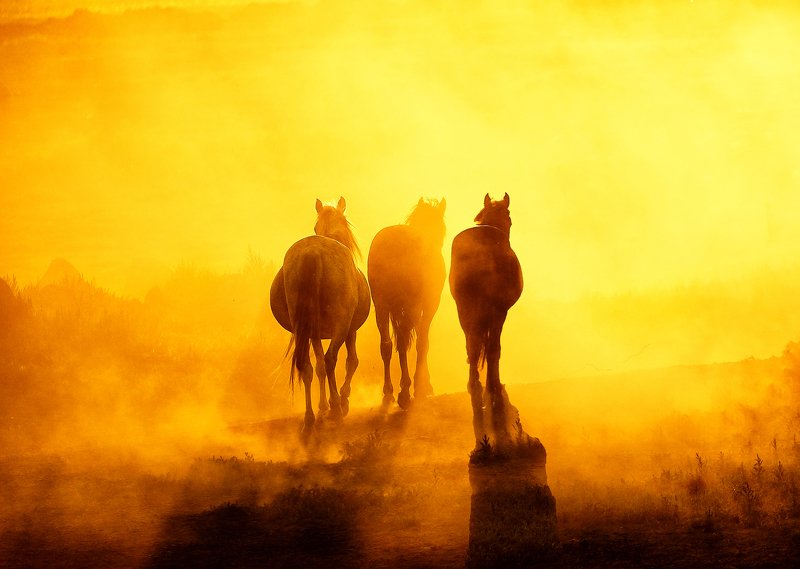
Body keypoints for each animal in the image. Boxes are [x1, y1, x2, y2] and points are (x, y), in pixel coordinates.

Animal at [270, 197, 370, 435]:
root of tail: (312, 253)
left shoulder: (313, 332)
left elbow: (318, 367)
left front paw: (322, 405)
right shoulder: (350, 330)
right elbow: (350, 361)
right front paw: (341, 400)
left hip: (303, 330)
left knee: (306, 366)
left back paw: (309, 418)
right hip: (340, 327)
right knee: (331, 359)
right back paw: (337, 409)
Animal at [367, 198, 447, 410]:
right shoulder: (428, 305)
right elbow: (423, 343)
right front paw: (421, 386)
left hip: (381, 306)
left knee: (386, 345)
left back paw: (388, 391)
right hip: (409, 307)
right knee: (403, 341)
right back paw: (404, 391)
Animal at [449, 193, 523, 447]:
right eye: (509, 215)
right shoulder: (501, 311)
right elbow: (494, 349)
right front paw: (495, 386)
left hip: (464, 309)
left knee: (471, 346)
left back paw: (474, 385)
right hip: (493, 310)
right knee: (489, 347)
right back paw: (490, 388)